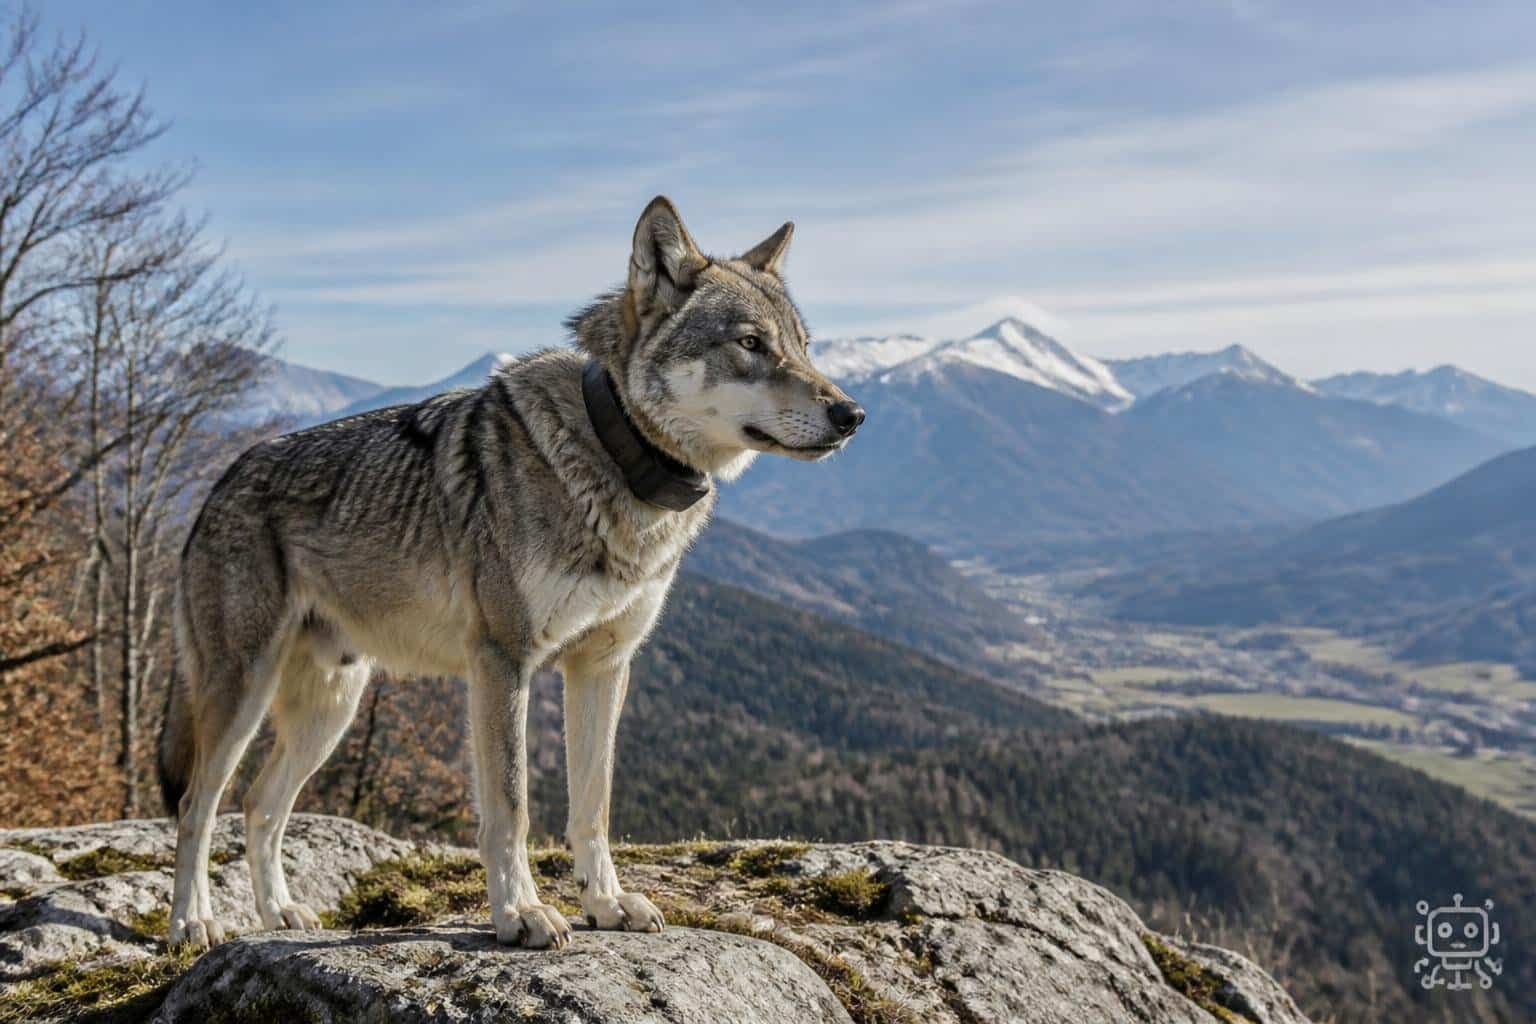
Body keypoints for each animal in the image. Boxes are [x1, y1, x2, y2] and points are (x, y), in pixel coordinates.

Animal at [157, 197, 863, 950]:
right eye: (751, 344)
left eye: (804, 346)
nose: (852, 413)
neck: (614, 454)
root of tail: (220, 481)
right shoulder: (503, 661)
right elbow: (512, 806)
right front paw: (520, 913)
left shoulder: (603, 667)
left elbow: (593, 807)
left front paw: (605, 903)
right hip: (246, 690)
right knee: (199, 803)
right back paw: (192, 922)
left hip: (332, 708)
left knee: (260, 805)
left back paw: (280, 915)